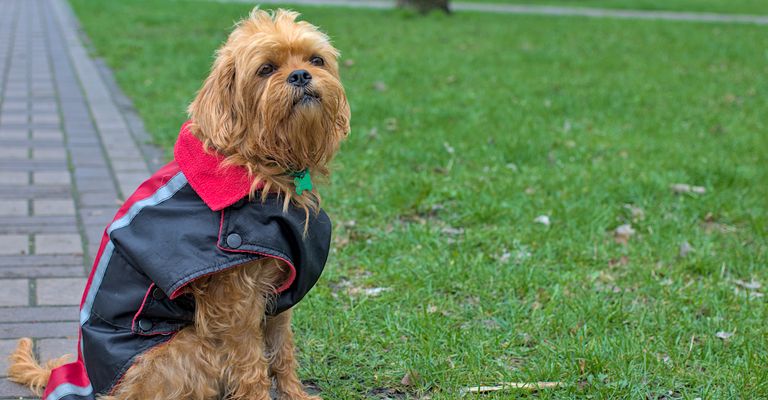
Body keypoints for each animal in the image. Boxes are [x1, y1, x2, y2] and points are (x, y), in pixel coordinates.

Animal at [7, 9, 350, 400]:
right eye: (266, 69)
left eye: (316, 60)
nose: (301, 75)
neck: (255, 167)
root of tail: (83, 376)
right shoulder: (235, 305)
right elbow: (252, 364)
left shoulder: (277, 291)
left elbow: (282, 351)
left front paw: (296, 394)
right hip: (189, 346)